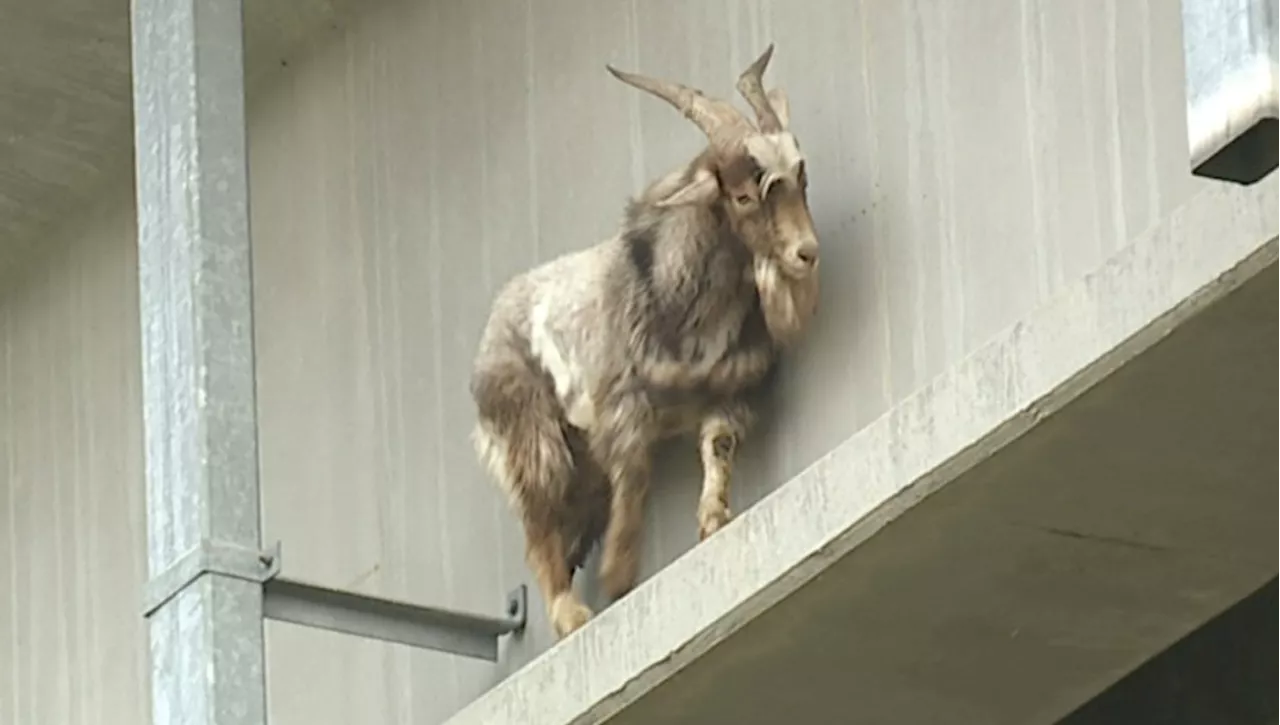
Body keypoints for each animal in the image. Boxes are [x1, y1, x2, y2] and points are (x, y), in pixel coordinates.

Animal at [471, 42, 819, 640]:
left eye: (802, 176)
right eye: (744, 196)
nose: (806, 252)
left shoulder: (728, 390)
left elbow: (718, 446)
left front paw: (713, 522)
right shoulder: (622, 401)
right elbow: (634, 477)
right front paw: (618, 575)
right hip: (528, 428)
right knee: (539, 517)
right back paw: (570, 614)